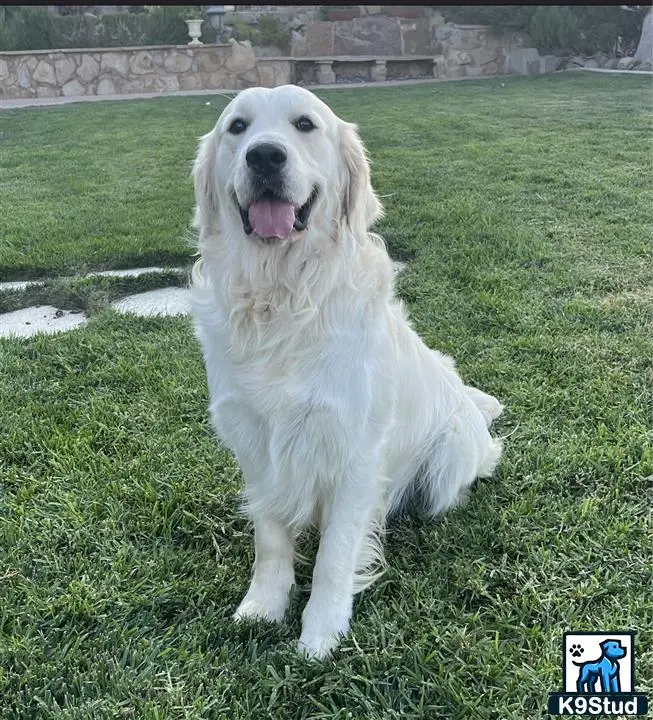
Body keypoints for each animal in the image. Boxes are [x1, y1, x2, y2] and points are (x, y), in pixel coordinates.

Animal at [190, 84, 504, 660]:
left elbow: (336, 554)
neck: (282, 299)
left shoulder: (354, 449)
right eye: (237, 127)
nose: (264, 156)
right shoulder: (256, 445)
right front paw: (263, 606)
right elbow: (270, 537)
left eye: (305, 124)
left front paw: (322, 632)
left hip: (448, 460)